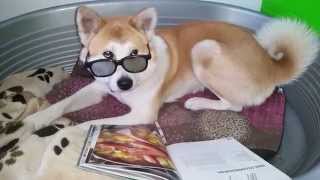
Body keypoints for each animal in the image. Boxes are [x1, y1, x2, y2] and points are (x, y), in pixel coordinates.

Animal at [21, 6, 318, 130]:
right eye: (107, 55)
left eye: (135, 54)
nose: (124, 84)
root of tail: (270, 65)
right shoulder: (97, 87)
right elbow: (63, 103)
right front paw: (35, 120)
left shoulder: (142, 114)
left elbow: (92, 123)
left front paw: (67, 130)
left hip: (204, 49)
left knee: (236, 106)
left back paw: (198, 102)